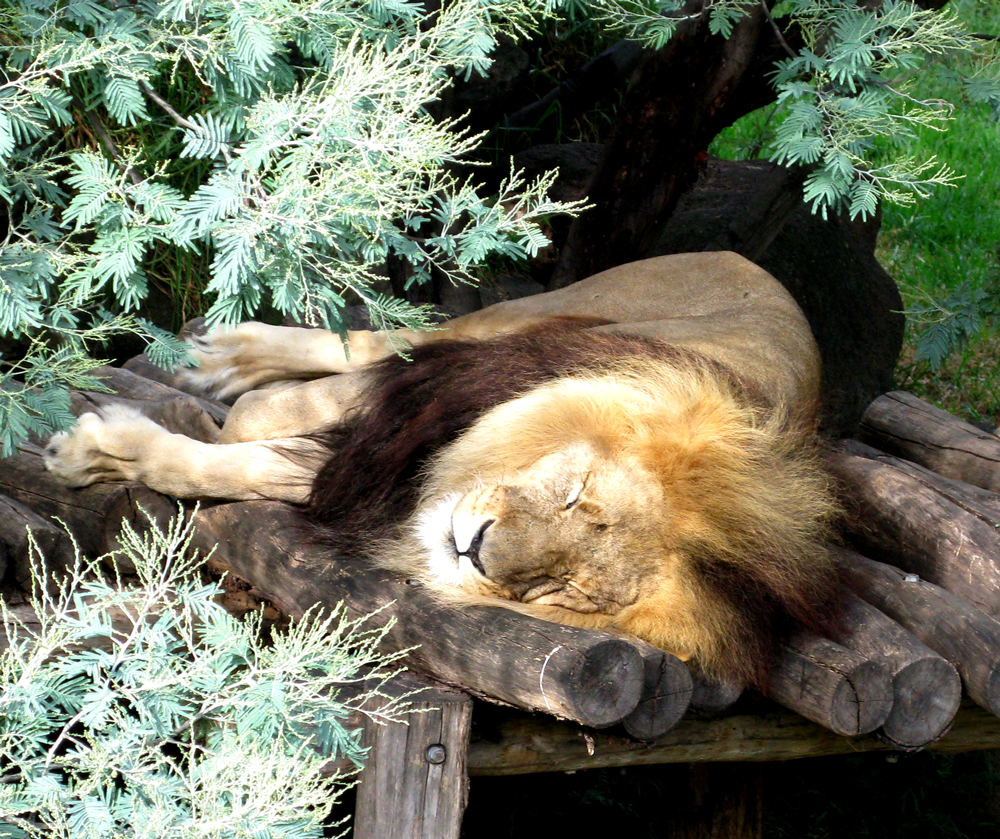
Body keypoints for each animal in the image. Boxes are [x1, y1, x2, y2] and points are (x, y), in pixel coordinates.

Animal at [44, 252, 843, 687]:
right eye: (576, 495)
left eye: (564, 590)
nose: (474, 547)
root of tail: (752, 263)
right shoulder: (442, 394)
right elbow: (273, 417)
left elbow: (244, 464)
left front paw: (105, 451)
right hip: (531, 314)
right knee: (381, 339)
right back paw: (232, 358)